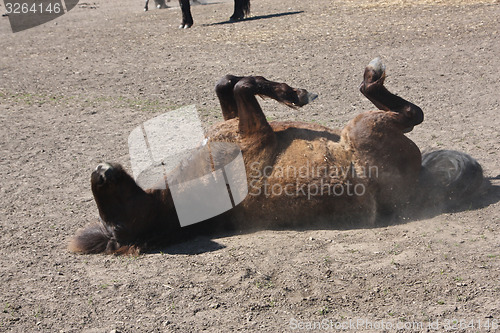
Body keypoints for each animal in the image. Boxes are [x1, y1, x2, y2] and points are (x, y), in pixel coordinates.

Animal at [68, 57, 482, 254]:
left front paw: (286, 91)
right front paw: (293, 93)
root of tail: (418, 184)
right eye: (117, 224)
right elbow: (244, 87)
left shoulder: (236, 120)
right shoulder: (256, 131)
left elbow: (228, 83)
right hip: (363, 128)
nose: (101, 172)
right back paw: (372, 77)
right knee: (410, 113)